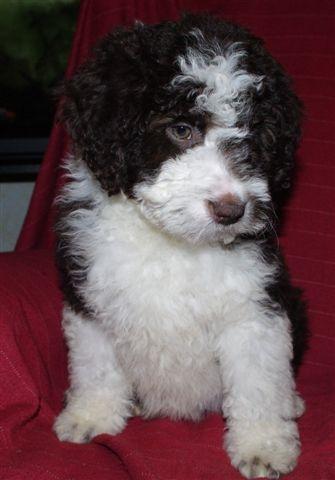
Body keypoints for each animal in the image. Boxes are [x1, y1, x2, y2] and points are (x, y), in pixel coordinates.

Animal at [53, 14, 308, 480]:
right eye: (181, 129)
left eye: (253, 136)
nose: (231, 210)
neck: (174, 243)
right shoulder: (89, 299)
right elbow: (95, 367)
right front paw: (92, 415)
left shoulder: (255, 307)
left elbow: (258, 382)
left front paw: (262, 445)